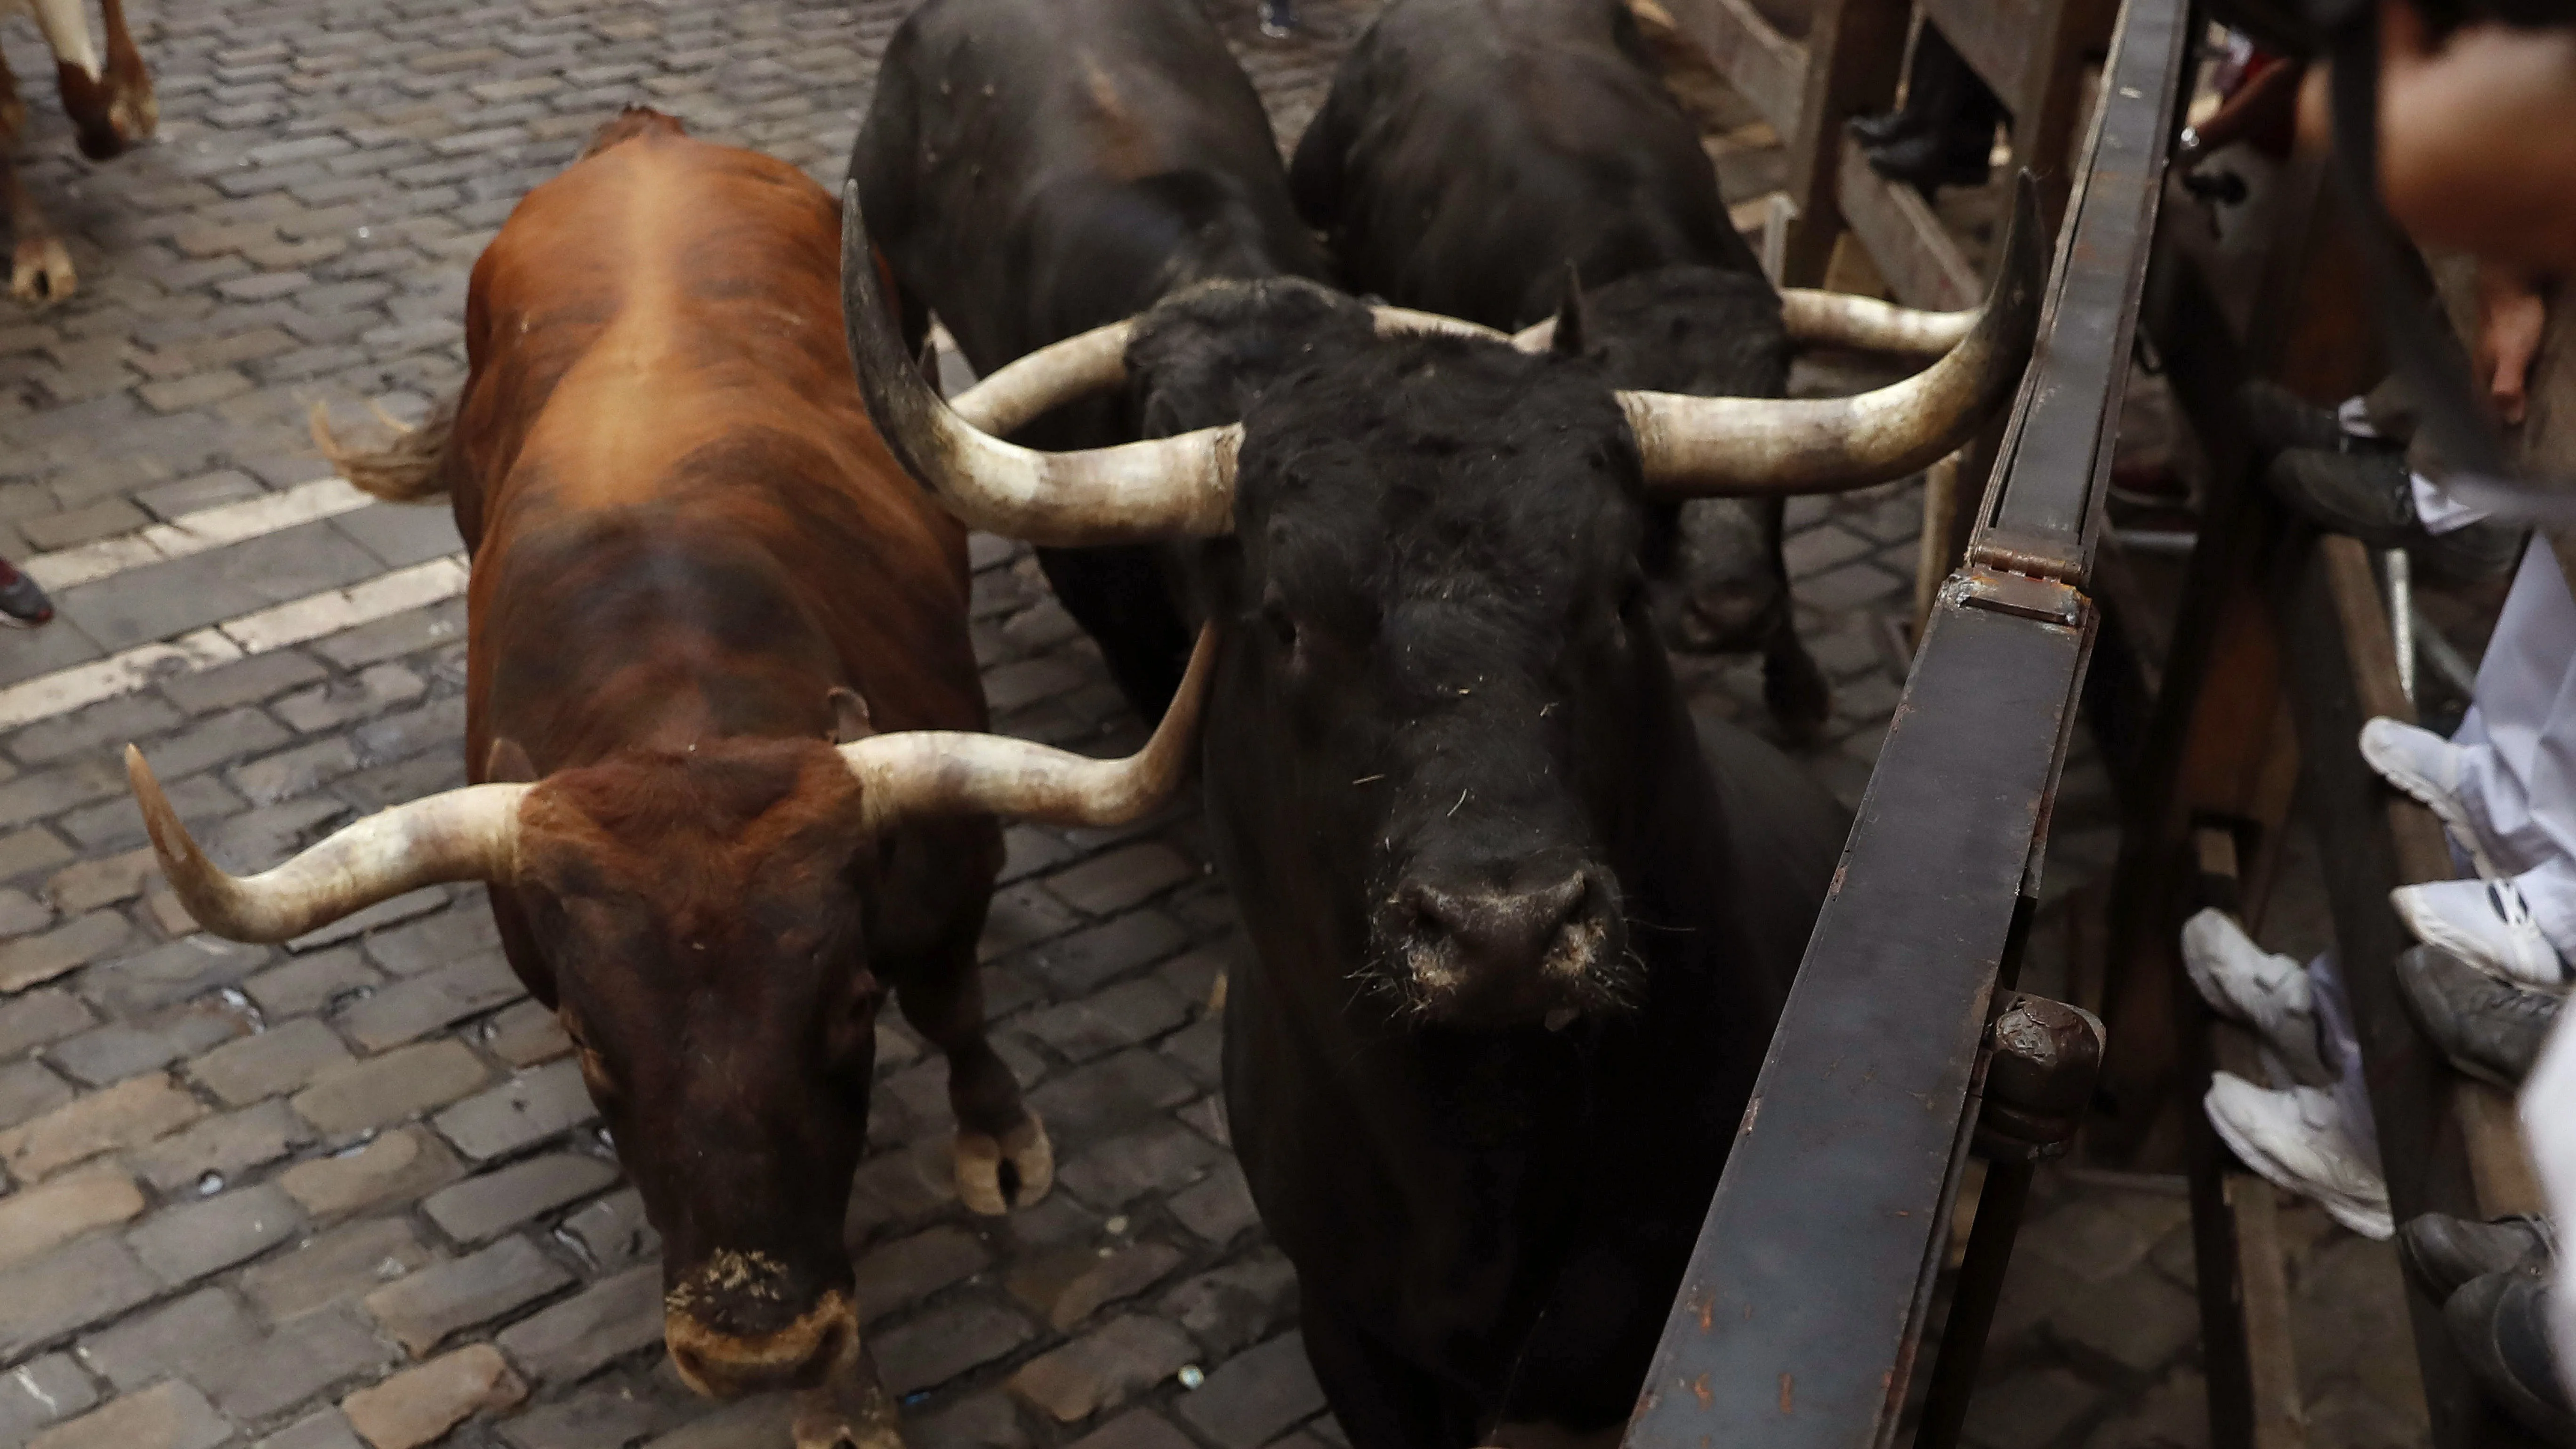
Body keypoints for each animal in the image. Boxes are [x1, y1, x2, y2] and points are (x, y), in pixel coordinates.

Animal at [121, 113, 1205, 1444]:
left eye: (850, 1003)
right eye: (587, 1038)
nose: (753, 1345)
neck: (680, 695)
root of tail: (647, 136)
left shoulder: (955, 876)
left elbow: (954, 1004)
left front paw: (997, 1137)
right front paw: (834, 1391)